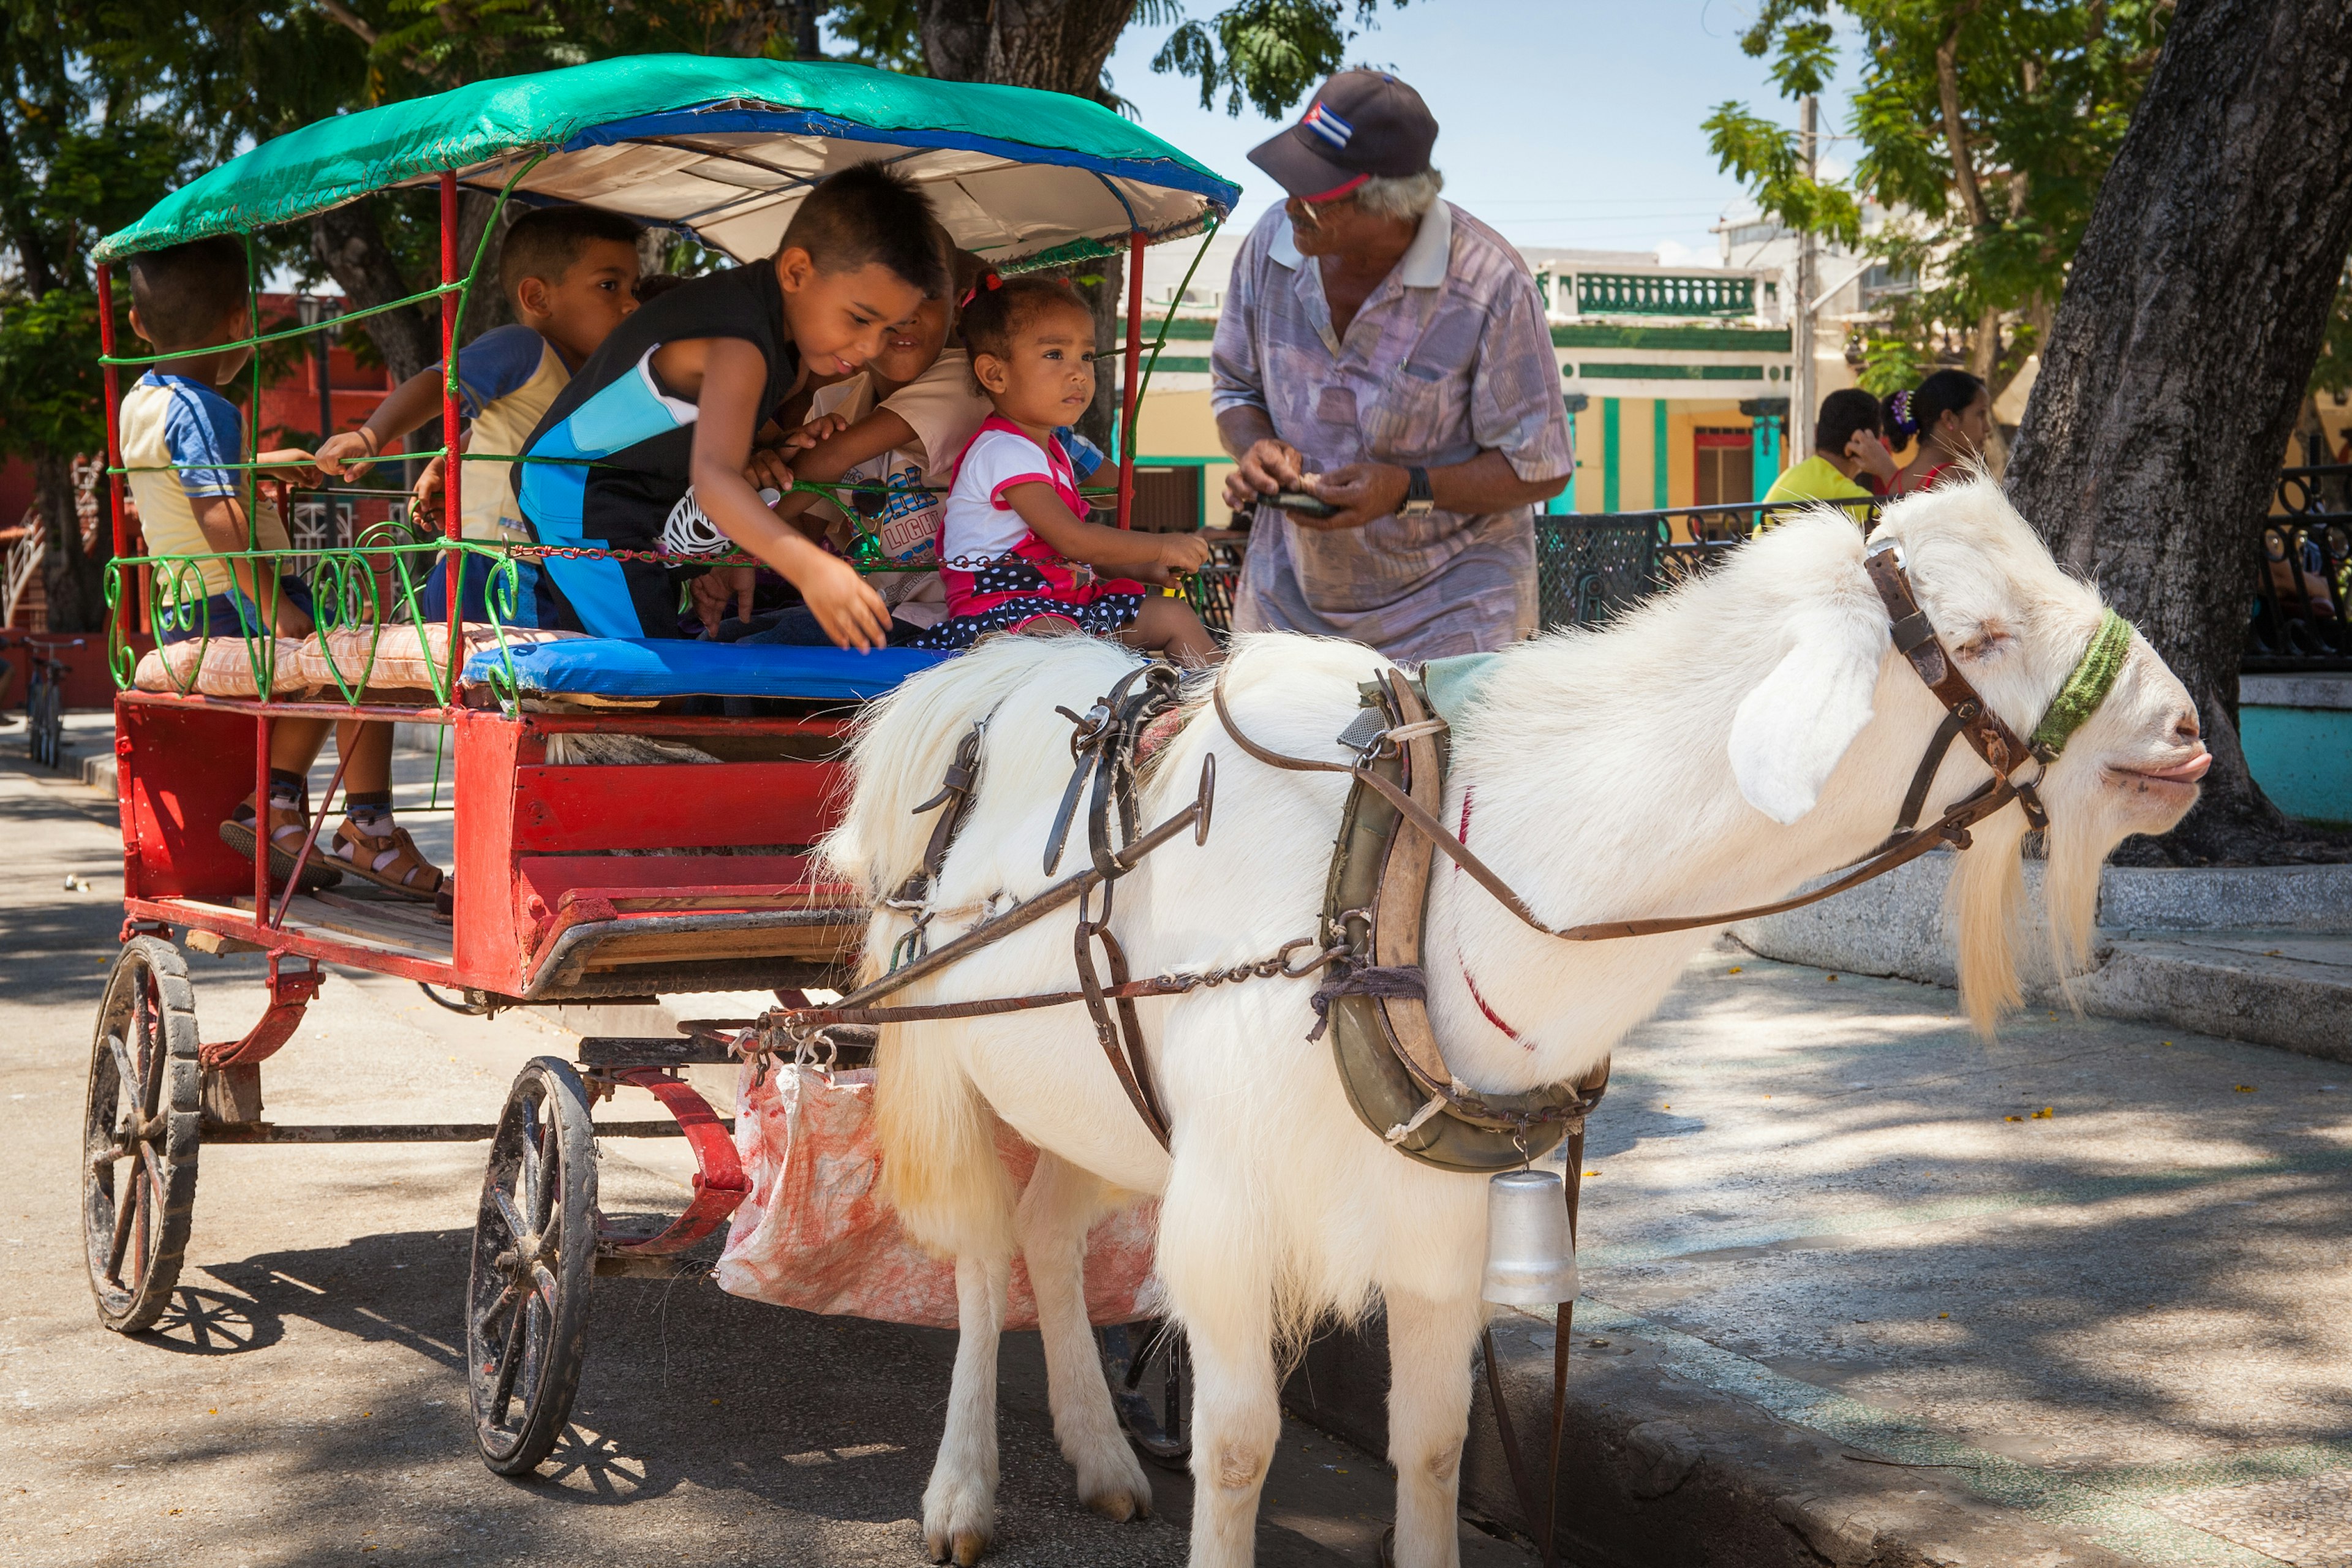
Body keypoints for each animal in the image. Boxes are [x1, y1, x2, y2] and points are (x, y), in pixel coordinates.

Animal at [823, 481, 2201, 1568]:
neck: (1412, 870)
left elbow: (1432, 1442)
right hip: (947, 1058)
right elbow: (1239, 1443)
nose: (2184, 729)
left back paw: (1104, 1459)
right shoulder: (1228, 1212)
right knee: (981, 1252)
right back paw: (962, 1494)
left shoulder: (1436, 1220)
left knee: (1053, 1232)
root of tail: (977, 680)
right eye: (1978, 633)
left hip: (1100, 1103)